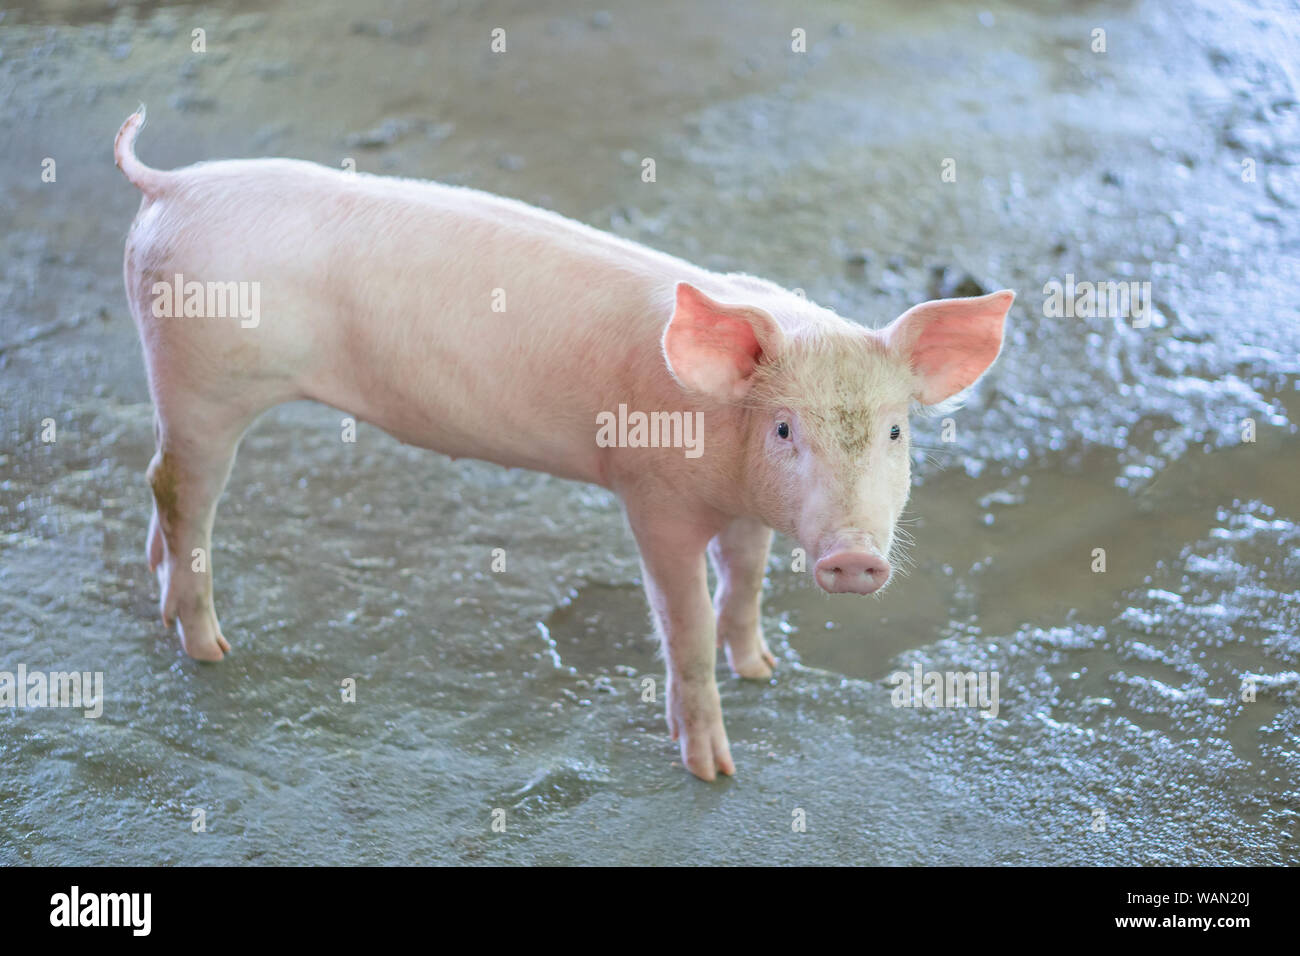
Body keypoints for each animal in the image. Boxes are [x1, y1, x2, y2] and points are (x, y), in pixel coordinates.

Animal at [115, 107, 1013, 780]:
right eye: (786, 427)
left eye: (895, 430)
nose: (855, 557)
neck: (723, 454)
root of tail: (171, 186)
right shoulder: (653, 497)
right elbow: (683, 622)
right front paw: (714, 770)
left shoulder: (746, 509)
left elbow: (747, 581)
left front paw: (762, 668)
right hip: (202, 381)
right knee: (176, 487)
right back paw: (210, 650)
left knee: (162, 486)